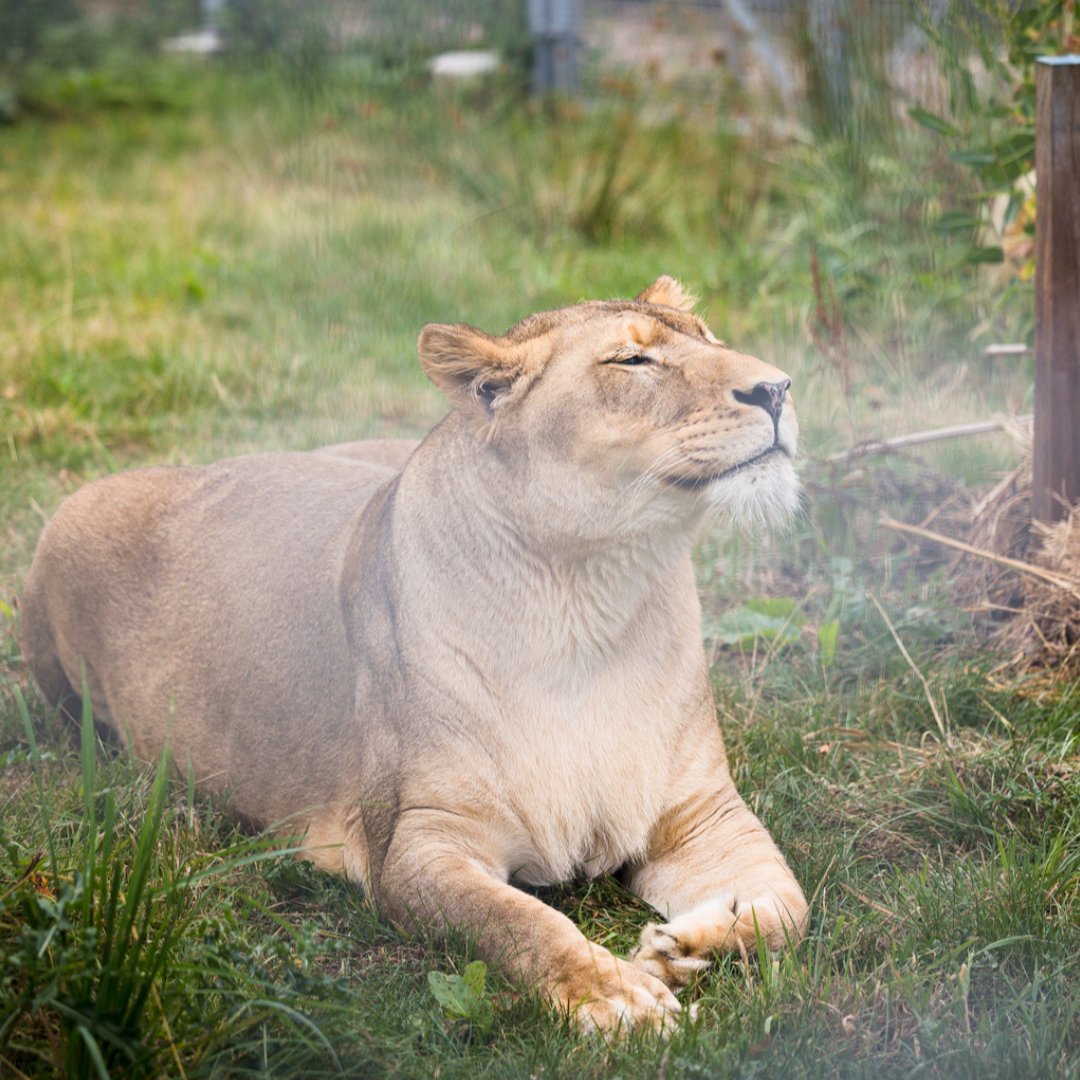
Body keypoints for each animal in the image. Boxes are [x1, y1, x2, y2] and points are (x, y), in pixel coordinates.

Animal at [20, 276, 808, 1033]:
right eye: (632, 360)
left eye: (711, 337)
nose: (777, 387)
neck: (591, 600)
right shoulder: (418, 842)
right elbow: (521, 921)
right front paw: (615, 996)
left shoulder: (705, 815)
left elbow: (787, 911)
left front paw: (685, 944)